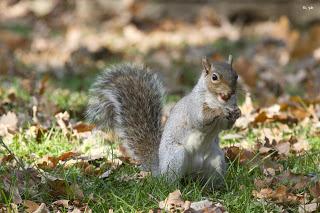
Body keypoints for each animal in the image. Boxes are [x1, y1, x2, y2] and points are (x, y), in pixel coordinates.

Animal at [86, 56, 241, 186]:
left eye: (236, 75)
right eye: (214, 77)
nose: (231, 92)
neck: (218, 100)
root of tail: (160, 169)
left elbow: (226, 125)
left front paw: (237, 112)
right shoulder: (194, 106)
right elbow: (201, 119)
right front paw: (219, 111)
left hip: (217, 160)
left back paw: (216, 188)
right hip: (176, 156)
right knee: (170, 180)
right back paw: (175, 188)